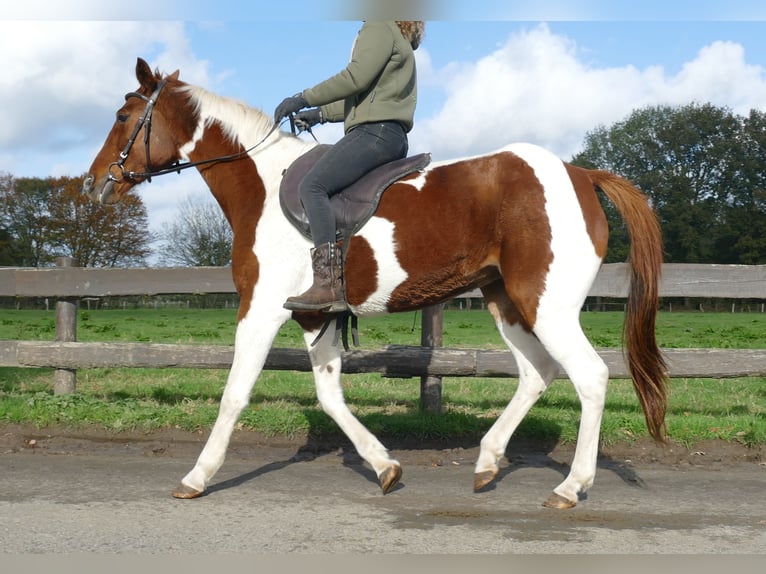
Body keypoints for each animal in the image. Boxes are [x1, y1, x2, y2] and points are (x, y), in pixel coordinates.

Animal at [84, 57, 668, 508]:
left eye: (123, 116)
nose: (95, 184)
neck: (263, 185)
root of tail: (581, 174)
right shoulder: (313, 315)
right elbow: (330, 397)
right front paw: (384, 465)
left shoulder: (261, 308)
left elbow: (235, 394)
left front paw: (196, 477)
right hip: (507, 302)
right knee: (536, 373)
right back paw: (487, 462)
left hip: (546, 304)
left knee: (590, 376)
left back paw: (570, 486)